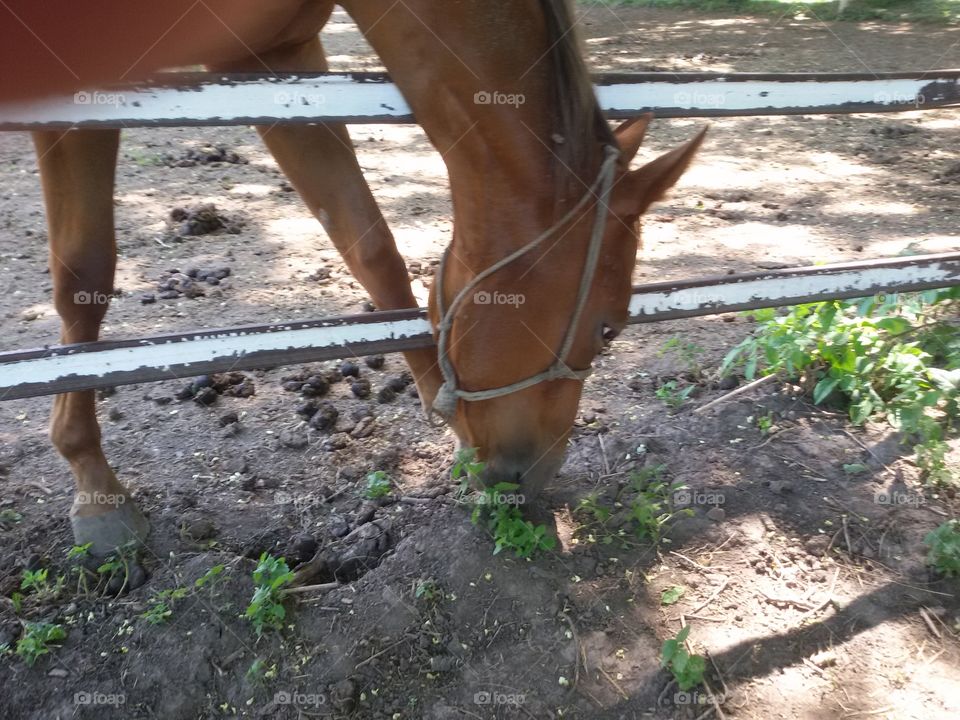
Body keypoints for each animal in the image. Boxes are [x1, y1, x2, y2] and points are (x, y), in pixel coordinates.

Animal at [16, 0, 704, 564]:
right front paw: (95, 487)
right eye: (609, 329)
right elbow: (84, 271)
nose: (535, 475)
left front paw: (452, 428)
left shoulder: (274, 56)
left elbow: (369, 244)